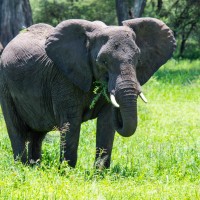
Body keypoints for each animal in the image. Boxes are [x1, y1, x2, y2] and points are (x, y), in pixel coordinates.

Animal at [0, 17, 175, 167]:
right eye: (103, 61)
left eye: (138, 60)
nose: (118, 111)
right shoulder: (63, 77)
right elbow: (71, 123)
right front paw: (67, 173)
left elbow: (106, 123)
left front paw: (100, 175)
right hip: (5, 86)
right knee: (16, 129)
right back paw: (23, 168)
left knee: (37, 134)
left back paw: (35, 167)